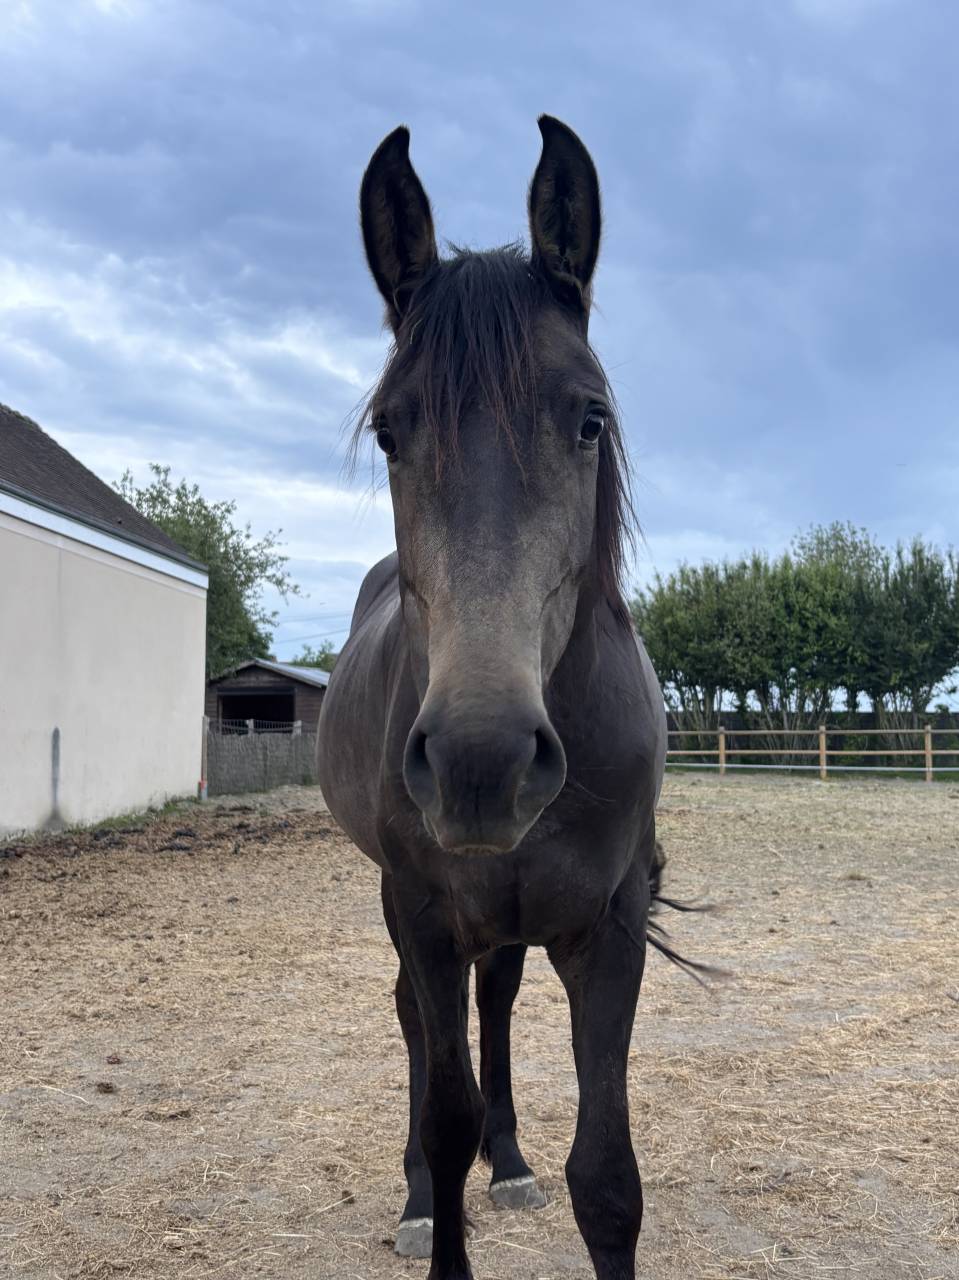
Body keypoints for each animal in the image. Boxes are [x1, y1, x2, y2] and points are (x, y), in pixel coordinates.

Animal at [317, 116, 668, 1280]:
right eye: (390, 429)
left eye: (589, 419)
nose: (482, 762)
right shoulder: (423, 912)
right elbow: (442, 1109)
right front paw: (436, 1196)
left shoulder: (609, 924)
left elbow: (605, 1177)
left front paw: (522, 1163)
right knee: (421, 1034)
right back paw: (425, 1195)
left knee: (498, 1004)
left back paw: (507, 1163)